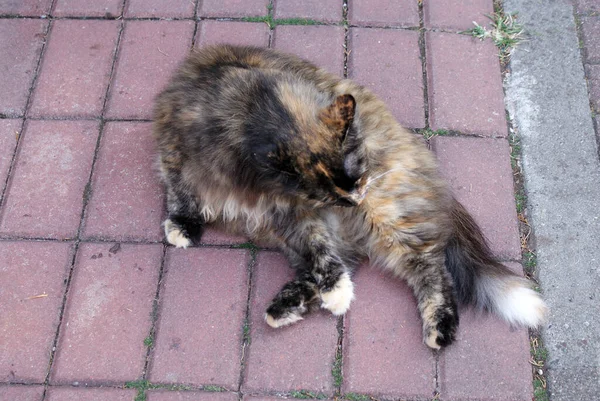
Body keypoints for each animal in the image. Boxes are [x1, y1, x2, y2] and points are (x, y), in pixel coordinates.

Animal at [152, 43, 548, 348]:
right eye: (329, 196)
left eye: (356, 177)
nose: (353, 202)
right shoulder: (178, 151)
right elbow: (181, 190)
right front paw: (183, 223)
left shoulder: (296, 211)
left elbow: (322, 252)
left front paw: (337, 290)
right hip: (298, 237)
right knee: (334, 264)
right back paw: (286, 306)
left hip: (388, 216)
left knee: (430, 268)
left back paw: (439, 327)